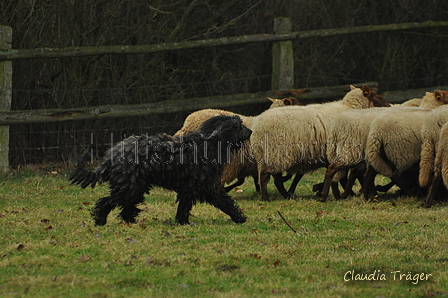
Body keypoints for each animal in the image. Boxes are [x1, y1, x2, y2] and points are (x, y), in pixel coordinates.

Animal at [69, 114, 252, 226]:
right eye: (239, 126)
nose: (250, 131)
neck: (208, 144)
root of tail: (111, 156)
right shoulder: (200, 185)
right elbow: (216, 202)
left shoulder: (200, 187)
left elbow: (217, 203)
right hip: (129, 187)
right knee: (106, 201)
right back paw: (100, 220)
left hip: (136, 187)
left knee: (125, 207)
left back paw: (130, 222)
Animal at [250, 82, 390, 201]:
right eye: (376, 96)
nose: (389, 106)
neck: (351, 107)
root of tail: (257, 126)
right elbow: (342, 176)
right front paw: (341, 194)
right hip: (276, 154)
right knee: (266, 176)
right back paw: (267, 198)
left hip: (268, 156)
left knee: (274, 178)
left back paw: (285, 196)